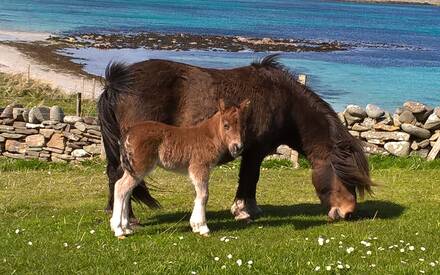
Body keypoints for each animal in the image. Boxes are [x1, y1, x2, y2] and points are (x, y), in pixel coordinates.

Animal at [110, 99, 249, 237]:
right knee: (121, 187)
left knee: (126, 189)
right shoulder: (200, 167)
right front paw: (203, 227)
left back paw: (126, 227)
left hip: (131, 169)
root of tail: (129, 132)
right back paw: (118, 229)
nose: (238, 147)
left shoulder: (196, 171)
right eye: (226, 125)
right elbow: (204, 195)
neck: (209, 136)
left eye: (243, 126)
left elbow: (197, 194)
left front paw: (195, 225)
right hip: (139, 168)